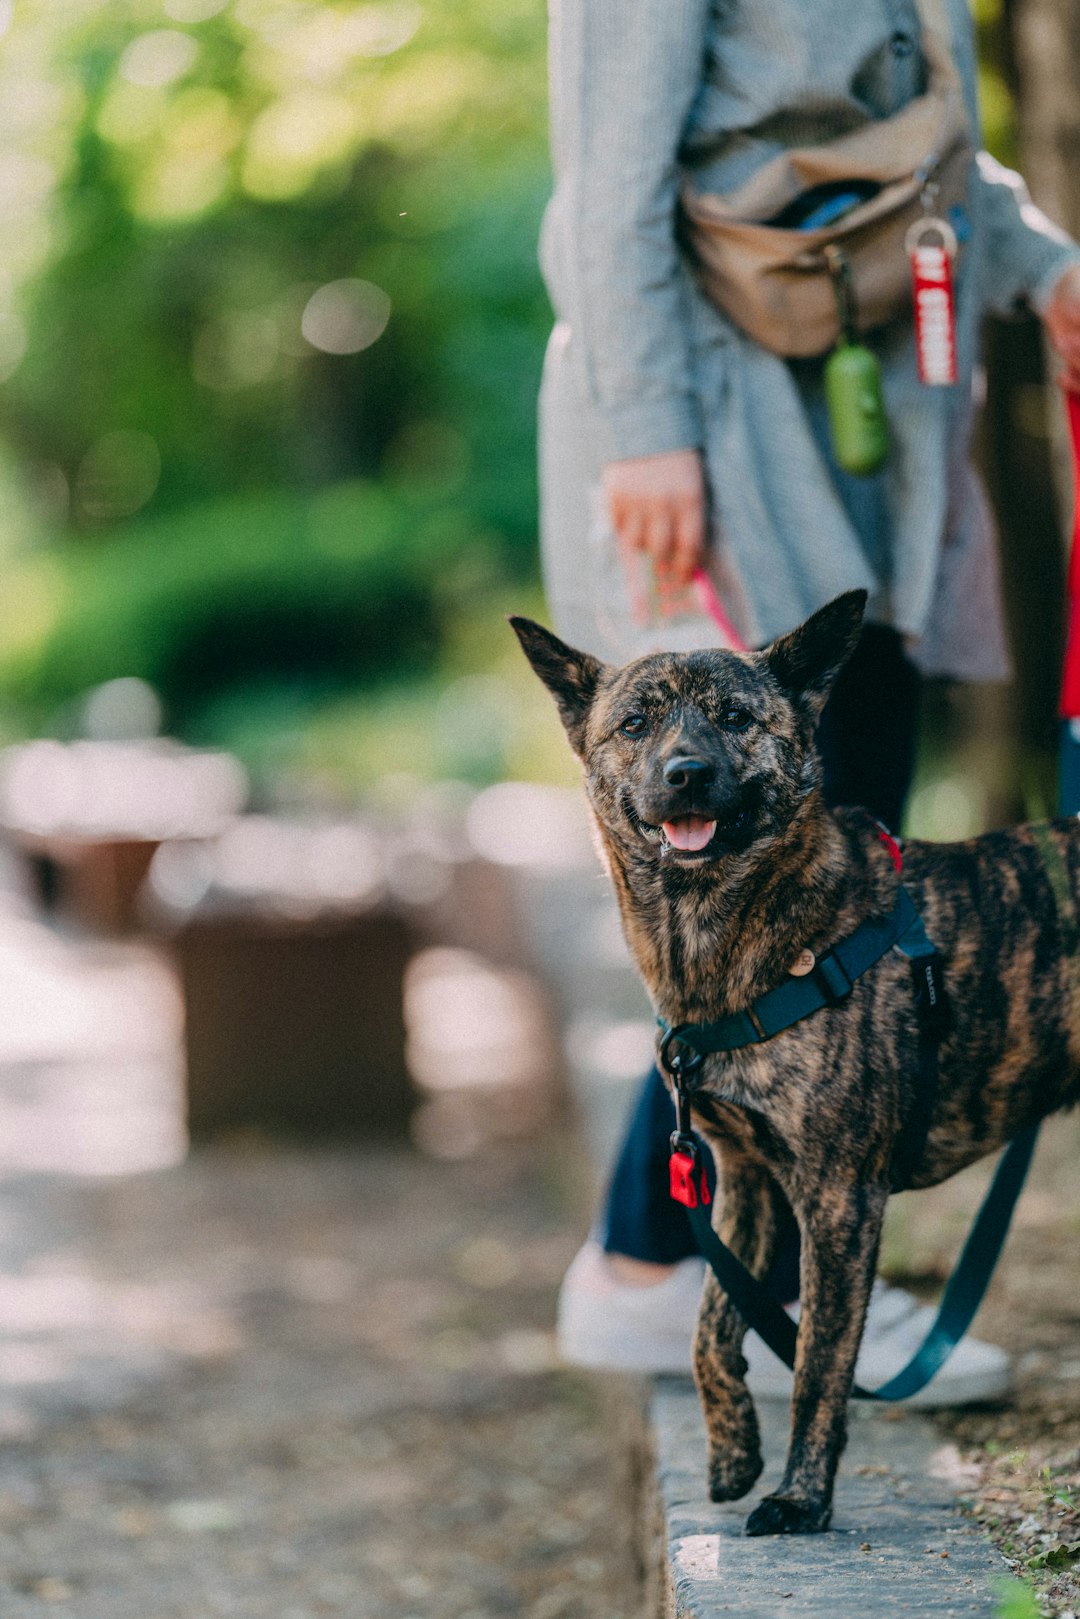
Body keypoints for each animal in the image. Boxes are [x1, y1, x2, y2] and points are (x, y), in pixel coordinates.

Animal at [511, 595, 1080, 1541]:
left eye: (737, 717)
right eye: (635, 724)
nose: (688, 773)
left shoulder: (839, 1197)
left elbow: (817, 1357)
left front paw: (800, 1496)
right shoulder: (744, 1182)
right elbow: (712, 1324)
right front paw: (734, 1451)